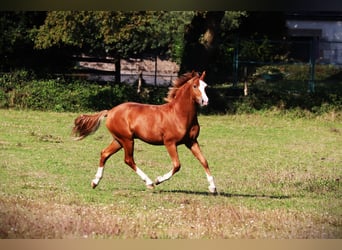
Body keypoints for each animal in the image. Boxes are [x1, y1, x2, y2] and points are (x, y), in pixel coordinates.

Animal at [72, 70, 216, 193]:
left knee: (104, 154)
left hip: (118, 140)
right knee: (128, 159)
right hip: (127, 140)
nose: (206, 101)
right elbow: (177, 165)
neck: (179, 115)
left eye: (205, 86)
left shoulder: (191, 141)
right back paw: (149, 182)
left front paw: (213, 188)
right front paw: (158, 180)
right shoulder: (170, 143)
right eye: (195, 86)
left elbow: (204, 161)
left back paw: (95, 182)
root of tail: (110, 111)